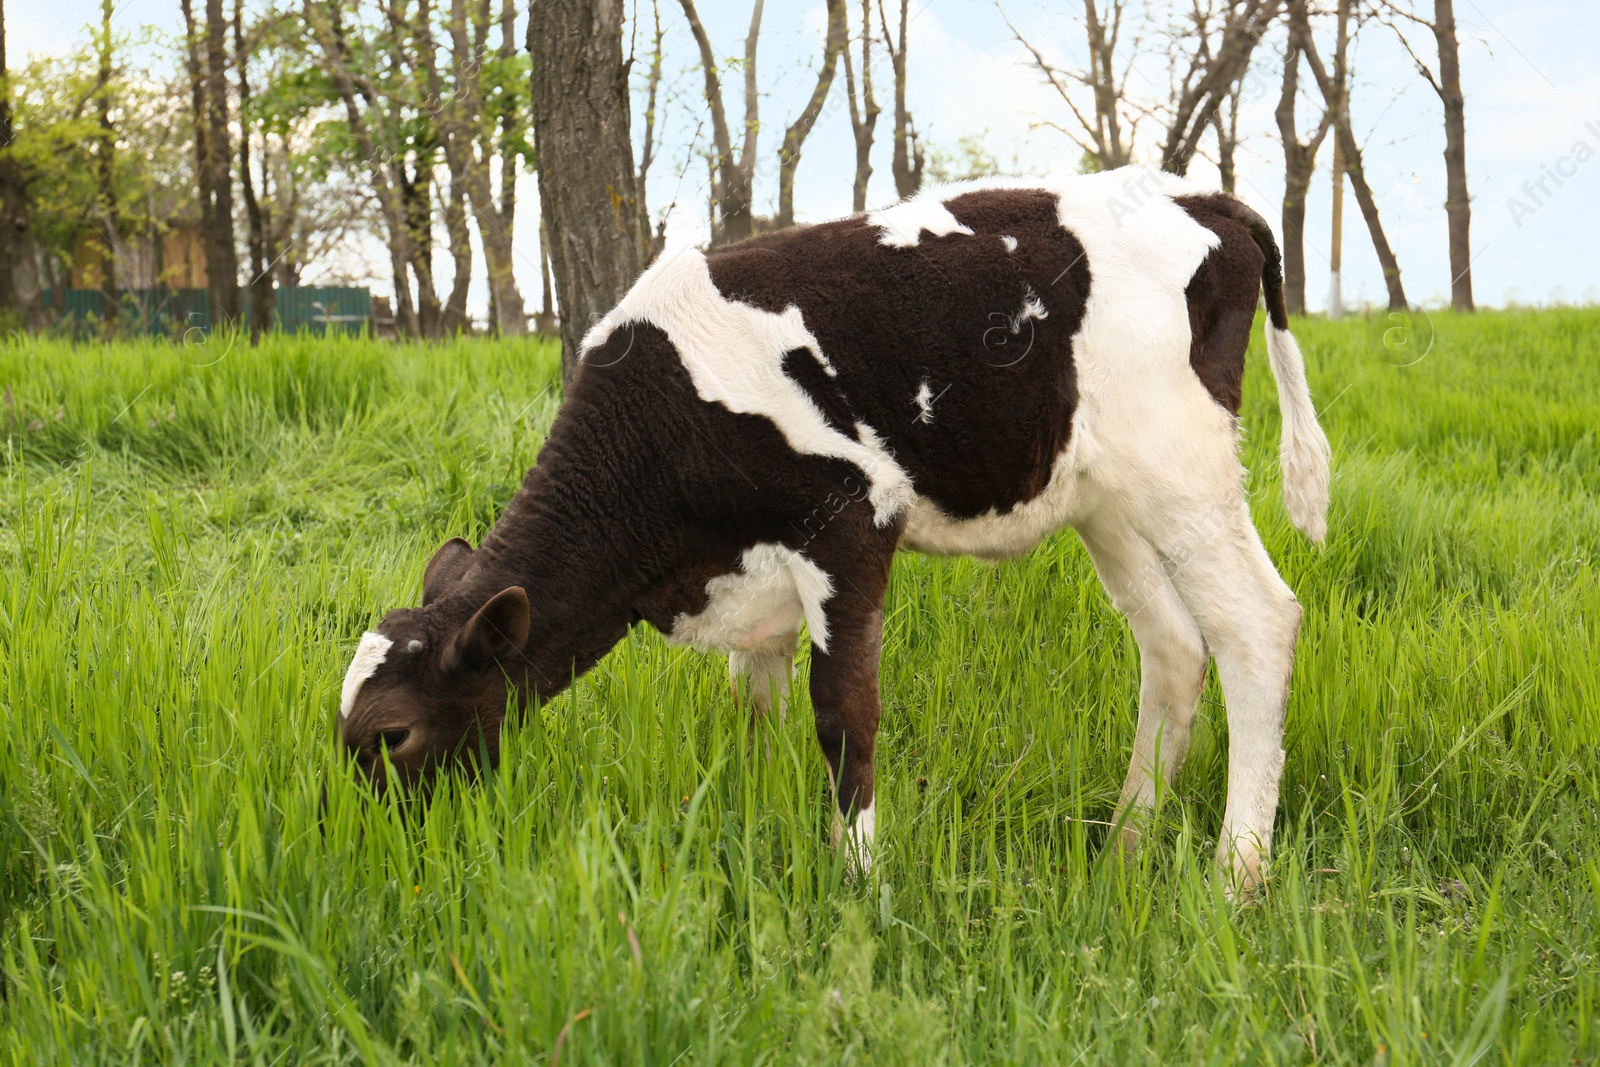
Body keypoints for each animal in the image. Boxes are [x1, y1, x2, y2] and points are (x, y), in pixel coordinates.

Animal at [340, 164, 1337, 883]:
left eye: (391, 736)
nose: (373, 850)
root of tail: (1199, 193)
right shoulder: (752, 566)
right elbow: (754, 708)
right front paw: (745, 822)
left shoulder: (852, 519)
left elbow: (844, 711)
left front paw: (858, 874)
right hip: (1109, 496)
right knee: (1172, 643)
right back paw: (1126, 841)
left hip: (1184, 472)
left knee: (1256, 623)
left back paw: (1236, 872)